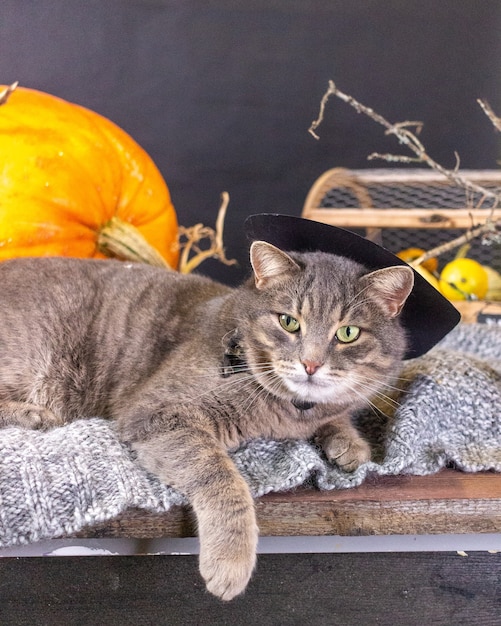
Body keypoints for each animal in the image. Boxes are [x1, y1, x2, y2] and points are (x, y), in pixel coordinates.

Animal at [0, 240, 412, 600]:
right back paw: (35, 415)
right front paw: (231, 559)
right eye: (289, 322)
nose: (310, 364)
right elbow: (223, 479)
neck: (290, 412)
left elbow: (337, 414)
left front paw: (349, 443)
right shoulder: (159, 413)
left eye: (348, 333)